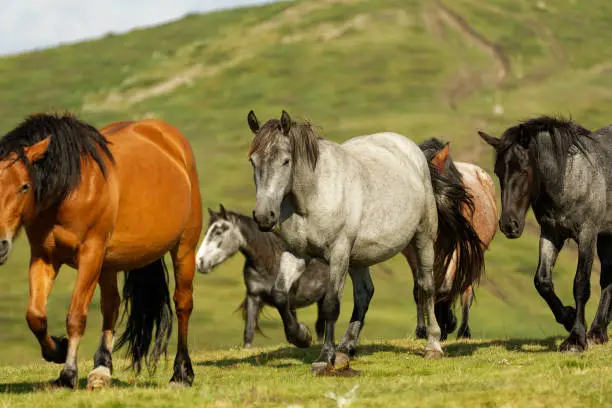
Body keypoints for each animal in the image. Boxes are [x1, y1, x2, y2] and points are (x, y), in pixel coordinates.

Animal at [0, 113, 202, 388]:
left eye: (24, 186)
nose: (0, 244)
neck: (71, 188)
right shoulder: (44, 257)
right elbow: (36, 316)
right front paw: (58, 350)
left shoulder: (90, 255)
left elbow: (76, 316)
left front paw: (68, 374)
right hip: (108, 263)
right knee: (111, 306)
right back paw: (101, 369)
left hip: (184, 248)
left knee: (183, 304)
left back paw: (181, 373)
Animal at [196, 204, 332, 348]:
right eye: (206, 232)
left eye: (218, 232)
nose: (199, 262)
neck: (269, 263)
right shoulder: (253, 296)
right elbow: (249, 332)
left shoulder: (288, 300)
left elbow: (290, 326)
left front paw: (304, 336)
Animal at [245, 110, 482, 372]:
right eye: (253, 161)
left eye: (286, 161)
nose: (264, 216)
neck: (313, 196)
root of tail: (413, 151)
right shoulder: (296, 253)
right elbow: (279, 294)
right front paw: (301, 336)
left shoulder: (338, 253)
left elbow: (331, 304)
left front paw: (324, 356)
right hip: (358, 258)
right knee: (364, 293)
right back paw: (346, 347)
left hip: (423, 239)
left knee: (426, 286)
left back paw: (433, 345)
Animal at [418, 139, 500, 342]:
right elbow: (421, 288)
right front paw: (426, 328)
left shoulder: (457, 248)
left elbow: (446, 286)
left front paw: (446, 322)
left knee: (465, 291)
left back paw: (463, 330)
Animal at [480, 115, 608, 350]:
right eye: (498, 172)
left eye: (523, 170)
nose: (508, 225)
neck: (569, 179)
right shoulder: (551, 234)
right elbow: (542, 282)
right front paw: (569, 318)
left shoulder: (587, 235)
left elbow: (581, 284)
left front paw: (576, 339)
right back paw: (598, 331)